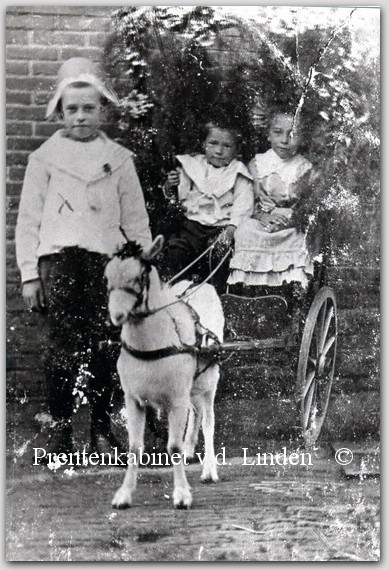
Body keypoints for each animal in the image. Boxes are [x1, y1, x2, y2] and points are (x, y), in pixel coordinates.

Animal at [104, 233, 223, 508]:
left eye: (139, 277)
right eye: (107, 277)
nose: (116, 315)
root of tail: (199, 285)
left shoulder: (176, 400)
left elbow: (174, 447)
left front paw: (181, 495)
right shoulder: (133, 399)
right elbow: (135, 447)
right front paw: (123, 494)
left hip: (209, 379)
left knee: (208, 421)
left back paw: (209, 470)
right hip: (192, 384)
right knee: (196, 413)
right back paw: (192, 451)